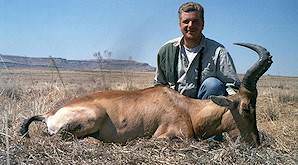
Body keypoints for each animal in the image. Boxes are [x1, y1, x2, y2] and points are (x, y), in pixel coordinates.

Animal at [20, 42, 272, 146]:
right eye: (246, 107)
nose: (255, 142)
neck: (186, 107)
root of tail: (49, 114)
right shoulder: (167, 136)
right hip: (91, 119)